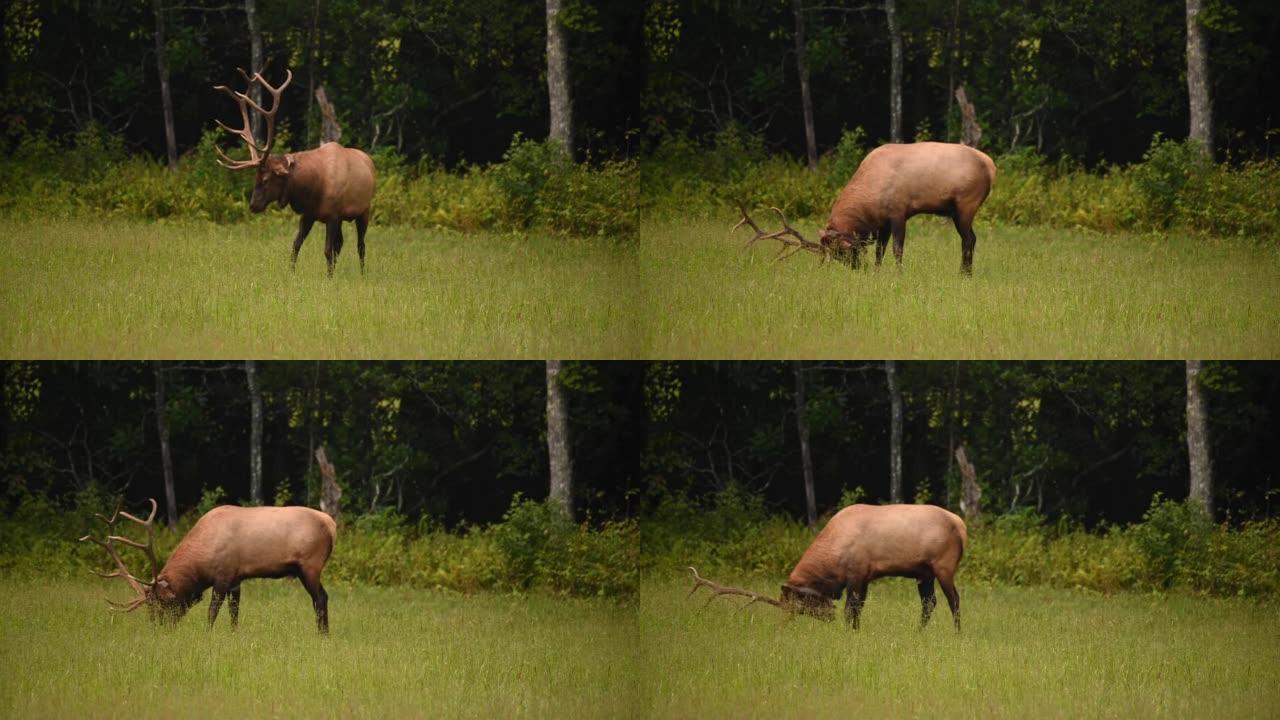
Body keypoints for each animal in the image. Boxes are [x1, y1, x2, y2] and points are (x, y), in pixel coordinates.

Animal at [78, 497, 340, 630]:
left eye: (163, 604)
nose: (157, 628)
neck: (201, 563)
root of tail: (332, 525)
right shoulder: (236, 578)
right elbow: (234, 612)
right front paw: (233, 634)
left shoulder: (223, 576)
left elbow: (212, 611)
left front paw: (208, 634)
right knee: (322, 597)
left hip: (309, 566)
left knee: (321, 598)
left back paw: (322, 634)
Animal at [212, 66, 373, 274]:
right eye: (255, 178)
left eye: (266, 179)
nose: (253, 205)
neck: (313, 188)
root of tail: (370, 161)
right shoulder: (309, 214)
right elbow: (296, 245)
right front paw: (292, 273)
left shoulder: (333, 214)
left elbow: (327, 250)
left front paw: (329, 277)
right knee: (342, 243)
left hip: (364, 210)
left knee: (360, 245)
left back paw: (362, 273)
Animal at [686, 502, 962, 630]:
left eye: (799, 607)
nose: (782, 625)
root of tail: (961, 525)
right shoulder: (864, 577)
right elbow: (858, 609)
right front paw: (855, 631)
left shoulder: (856, 574)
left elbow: (850, 609)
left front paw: (848, 631)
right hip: (923, 573)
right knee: (929, 603)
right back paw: (919, 631)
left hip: (943, 568)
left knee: (954, 600)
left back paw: (957, 633)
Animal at [737, 141, 993, 272]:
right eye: (836, 256)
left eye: (842, 251)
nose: (857, 269)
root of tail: (991, 167)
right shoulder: (882, 223)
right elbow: (880, 249)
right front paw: (878, 272)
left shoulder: (899, 212)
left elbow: (897, 249)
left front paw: (899, 273)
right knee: (971, 238)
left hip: (965, 205)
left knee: (969, 239)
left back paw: (964, 273)